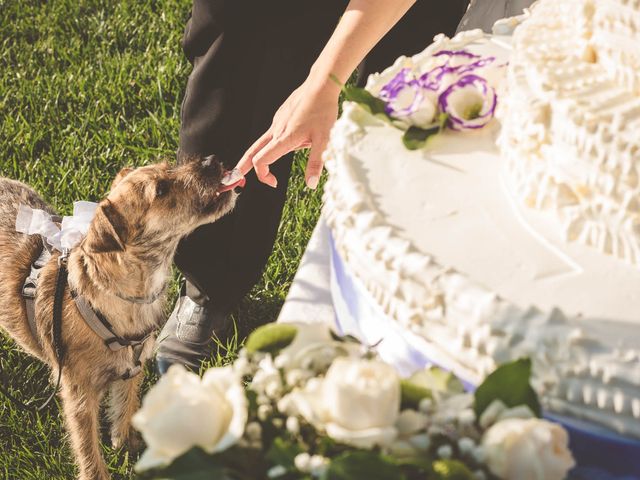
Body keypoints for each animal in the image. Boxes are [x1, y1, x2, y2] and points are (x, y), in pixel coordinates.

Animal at [0, 157, 240, 476]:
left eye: (169, 165)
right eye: (160, 190)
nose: (212, 160)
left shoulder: (132, 369)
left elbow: (125, 406)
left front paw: (127, 445)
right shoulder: (79, 399)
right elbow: (87, 449)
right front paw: (98, 471)